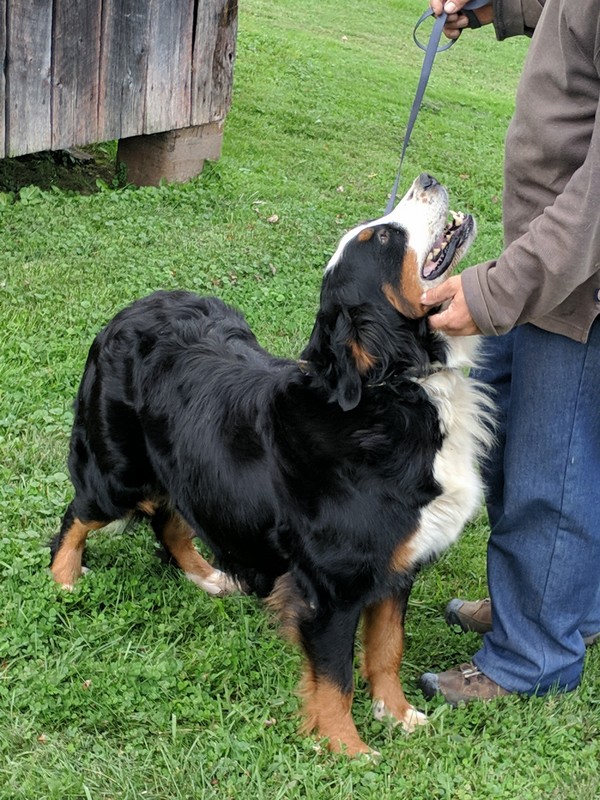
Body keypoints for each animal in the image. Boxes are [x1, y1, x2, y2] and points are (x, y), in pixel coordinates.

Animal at [50, 173, 492, 756]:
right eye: (382, 238)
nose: (427, 179)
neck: (393, 393)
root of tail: (133, 308)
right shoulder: (333, 585)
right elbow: (335, 677)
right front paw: (348, 749)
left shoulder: (398, 564)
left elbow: (387, 649)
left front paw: (398, 715)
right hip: (118, 471)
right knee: (77, 515)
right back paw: (64, 578)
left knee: (169, 523)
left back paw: (208, 577)